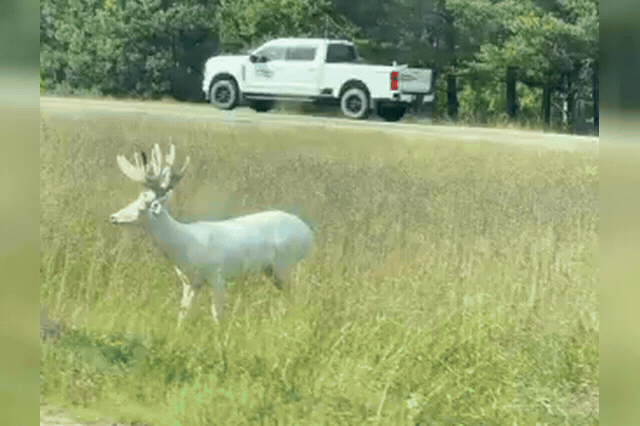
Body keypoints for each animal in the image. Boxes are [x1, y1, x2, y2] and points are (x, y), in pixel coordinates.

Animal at [110, 144, 314, 325]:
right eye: (136, 198)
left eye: (144, 205)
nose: (113, 217)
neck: (183, 244)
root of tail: (309, 233)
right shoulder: (190, 282)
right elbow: (184, 314)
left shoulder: (217, 275)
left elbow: (217, 314)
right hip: (271, 270)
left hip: (285, 265)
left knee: (296, 295)